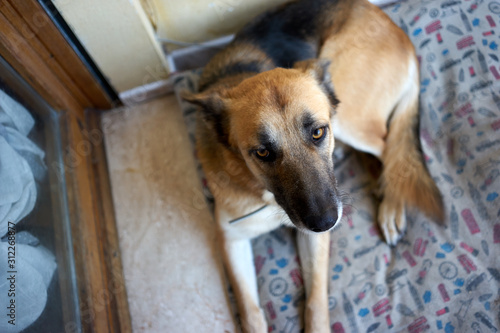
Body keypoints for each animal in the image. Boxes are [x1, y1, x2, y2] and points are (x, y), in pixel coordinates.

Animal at [182, 0, 444, 330]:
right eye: (262, 152)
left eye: (318, 132)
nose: (325, 222)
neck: (265, 195)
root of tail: (394, 26)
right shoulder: (232, 240)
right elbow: (251, 312)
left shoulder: (314, 239)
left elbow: (316, 299)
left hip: (347, 113)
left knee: (391, 150)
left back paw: (391, 206)